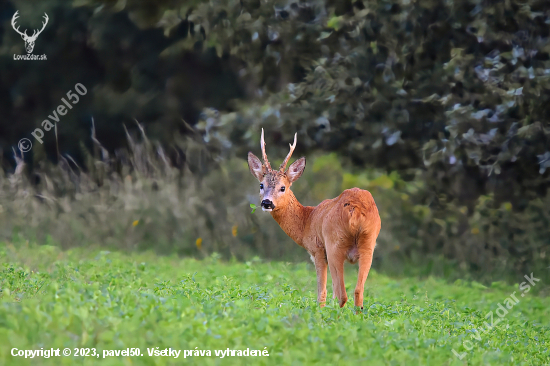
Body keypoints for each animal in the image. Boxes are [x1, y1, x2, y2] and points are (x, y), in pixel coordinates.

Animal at [248, 129, 382, 308]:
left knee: (342, 294)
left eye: (283, 187)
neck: (307, 220)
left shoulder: (317, 250)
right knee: (357, 292)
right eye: (261, 185)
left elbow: (322, 292)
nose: (267, 203)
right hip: (369, 243)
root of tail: (356, 210)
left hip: (334, 245)